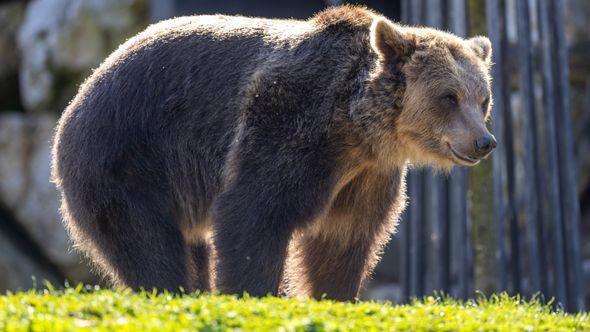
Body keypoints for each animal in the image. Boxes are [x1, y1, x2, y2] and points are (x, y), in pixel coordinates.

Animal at [51, 5, 498, 300]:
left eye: (483, 99)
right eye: (448, 97)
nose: (484, 142)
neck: (356, 128)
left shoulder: (366, 176)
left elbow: (342, 240)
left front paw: (336, 294)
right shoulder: (289, 126)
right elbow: (253, 214)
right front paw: (253, 291)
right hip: (127, 158)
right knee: (149, 245)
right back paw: (172, 289)